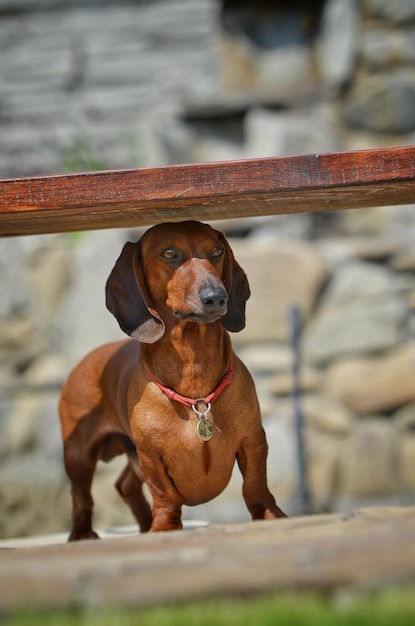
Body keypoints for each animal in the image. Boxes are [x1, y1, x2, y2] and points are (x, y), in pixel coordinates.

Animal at [59, 218, 286, 536]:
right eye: (169, 253)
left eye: (217, 251)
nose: (216, 297)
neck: (195, 382)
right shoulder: (150, 456)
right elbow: (165, 495)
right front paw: (165, 527)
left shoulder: (253, 440)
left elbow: (255, 485)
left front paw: (270, 515)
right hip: (78, 453)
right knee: (81, 496)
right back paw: (82, 535)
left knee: (124, 485)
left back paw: (144, 525)